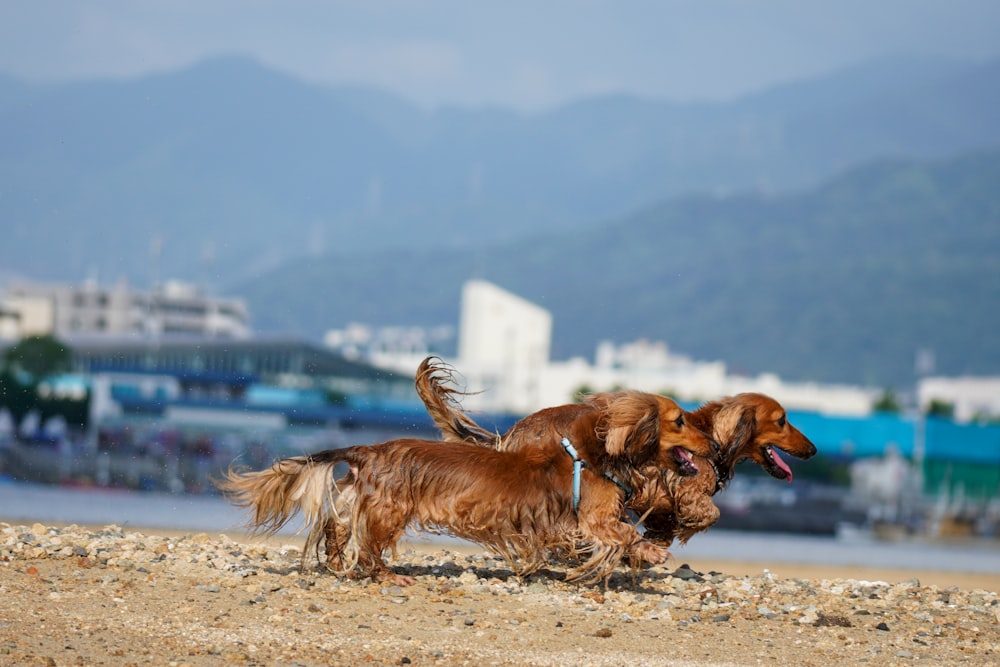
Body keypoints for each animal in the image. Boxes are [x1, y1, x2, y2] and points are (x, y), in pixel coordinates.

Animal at [221, 388, 720, 588]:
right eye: (679, 421)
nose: (714, 445)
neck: (593, 454)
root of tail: (370, 448)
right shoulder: (592, 520)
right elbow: (622, 532)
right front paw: (650, 550)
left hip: (359, 500)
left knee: (337, 529)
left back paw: (338, 561)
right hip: (389, 511)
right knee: (370, 551)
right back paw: (387, 574)